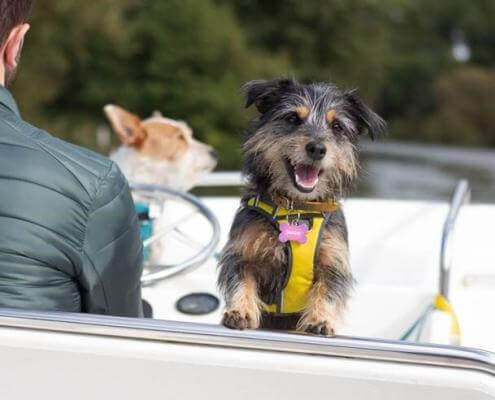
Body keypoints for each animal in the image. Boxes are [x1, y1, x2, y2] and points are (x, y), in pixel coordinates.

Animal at [218, 77, 388, 334]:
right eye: (292, 118)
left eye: (337, 126)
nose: (317, 148)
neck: (297, 207)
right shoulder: (243, 252)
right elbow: (241, 280)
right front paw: (241, 311)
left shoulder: (333, 261)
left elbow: (327, 290)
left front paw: (320, 319)